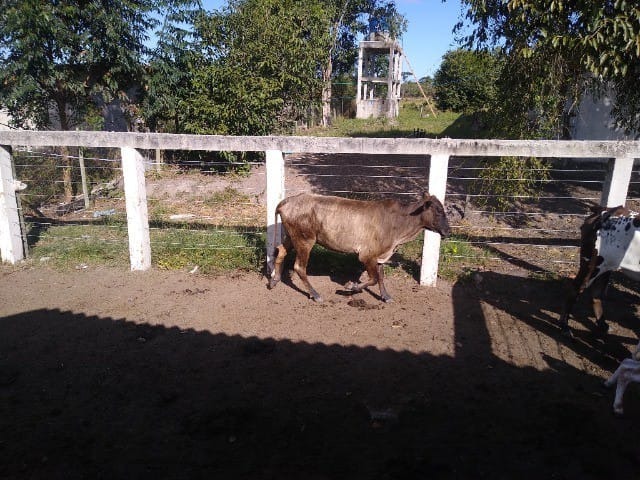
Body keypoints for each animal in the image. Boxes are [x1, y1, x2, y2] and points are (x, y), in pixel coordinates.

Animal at [266, 192, 450, 302]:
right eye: (438, 211)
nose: (448, 230)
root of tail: (286, 201)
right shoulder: (366, 255)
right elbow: (373, 278)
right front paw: (351, 287)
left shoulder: (380, 255)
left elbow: (380, 276)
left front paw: (386, 296)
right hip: (305, 240)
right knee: (299, 267)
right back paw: (316, 294)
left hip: (292, 237)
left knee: (280, 251)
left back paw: (274, 281)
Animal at [556, 206, 640, 338]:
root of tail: (603, 210)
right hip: (592, 265)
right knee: (575, 289)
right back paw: (564, 326)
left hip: (606, 267)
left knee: (596, 294)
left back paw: (602, 325)